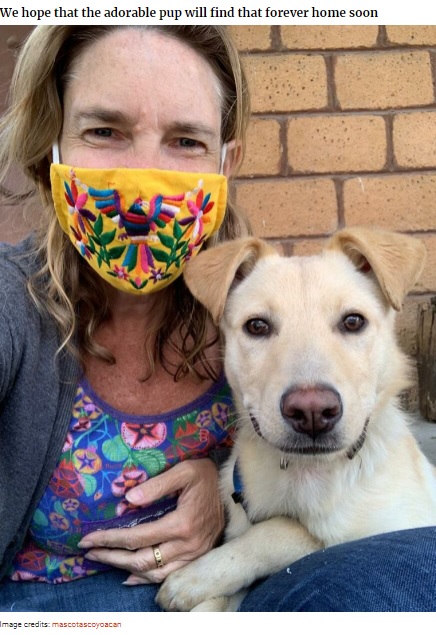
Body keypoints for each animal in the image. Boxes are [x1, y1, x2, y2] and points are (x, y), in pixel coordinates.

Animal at [156, 225, 436, 612]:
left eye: (353, 321)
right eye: (257, 326)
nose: (312, 412)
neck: (307, 476)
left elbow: (295, 531)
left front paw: (195, 576)